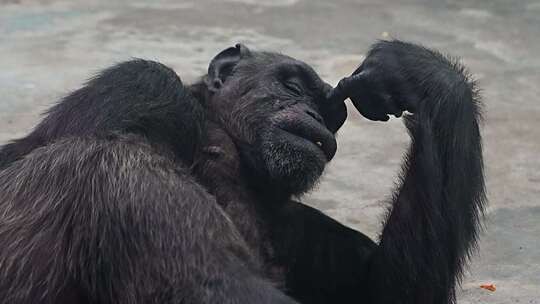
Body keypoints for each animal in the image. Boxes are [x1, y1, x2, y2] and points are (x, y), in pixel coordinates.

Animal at [0, 41, 486, 304]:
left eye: (333, 116)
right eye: (293, 86)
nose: (316, 115)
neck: (232, 151)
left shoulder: (302, 228)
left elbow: (382, 289)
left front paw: (417, 73)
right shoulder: (139, 86)